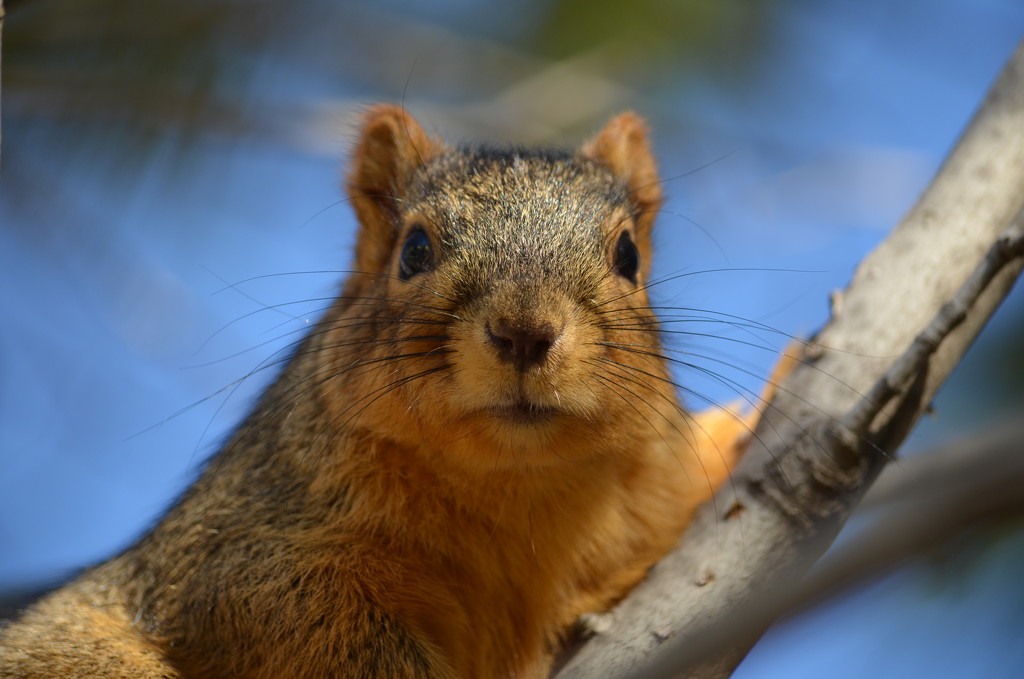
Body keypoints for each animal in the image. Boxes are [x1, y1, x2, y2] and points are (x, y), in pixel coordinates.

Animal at [0, 107, 761, 679]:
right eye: (414, 250)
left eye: (628, 255)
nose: (524, 330)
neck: (515, 483)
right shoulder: (234, 558)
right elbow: (312, 626)